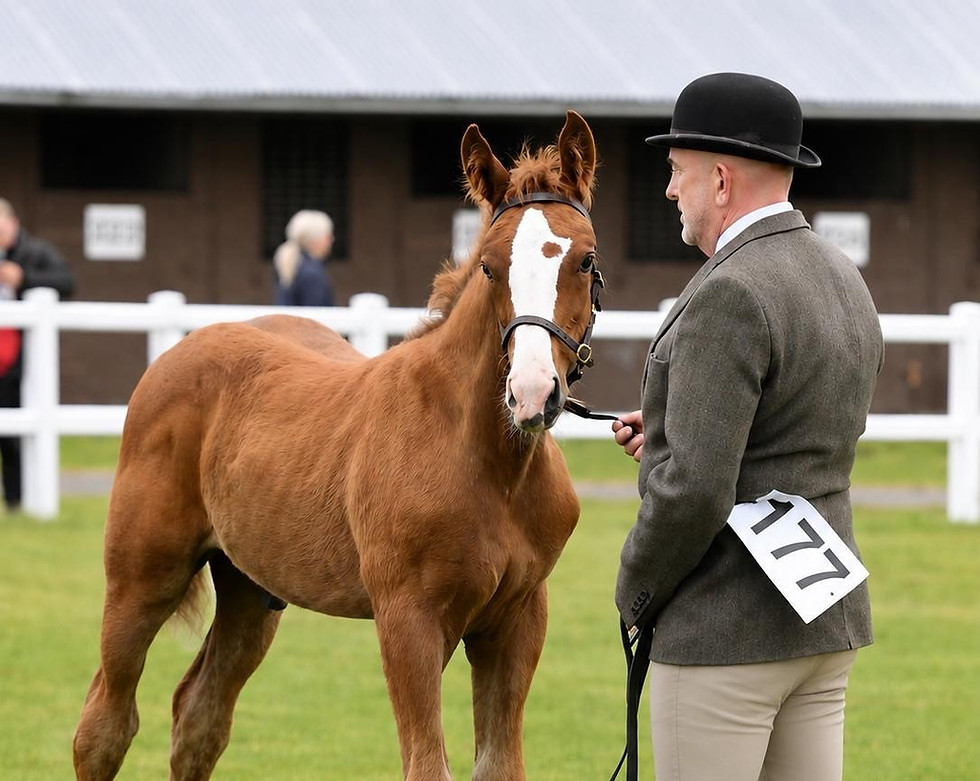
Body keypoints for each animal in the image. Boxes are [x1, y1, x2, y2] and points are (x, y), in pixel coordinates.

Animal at [73, 110, 601, 781]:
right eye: (489, 265)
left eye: (584, 260)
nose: (532, 394)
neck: (491, 467)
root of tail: (181, 348)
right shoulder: (408, 619)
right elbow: (426, 765)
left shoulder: (518, 620)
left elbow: (499, 766)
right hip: (142, 578)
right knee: (106, 723)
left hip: (249, 590)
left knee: (199, 716)